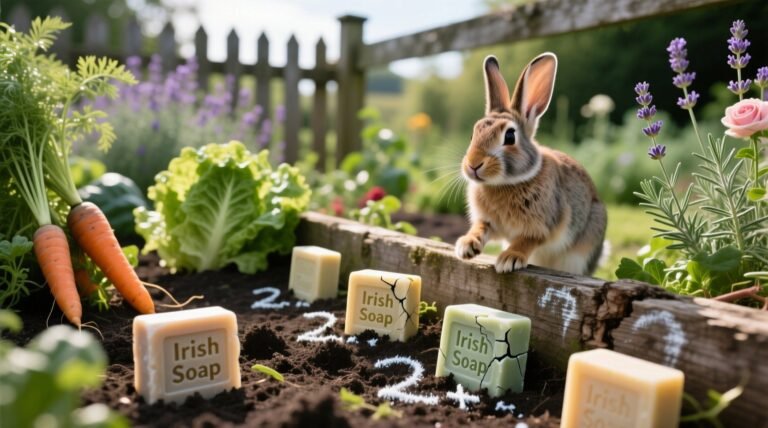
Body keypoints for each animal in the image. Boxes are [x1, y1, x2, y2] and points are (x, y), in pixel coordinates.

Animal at [455, 53, 607, 276]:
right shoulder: (488, 221)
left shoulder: (545, 225)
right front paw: (466, 246)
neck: (506, 183)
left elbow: (527, 240)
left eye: (510, 136)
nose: (473, 165)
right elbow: (481, 227)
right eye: (474, 134)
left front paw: (509, 259)